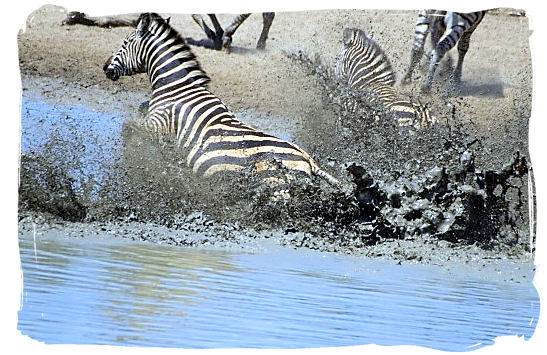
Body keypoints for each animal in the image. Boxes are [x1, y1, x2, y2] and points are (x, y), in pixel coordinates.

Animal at [103, 12, 340, 188]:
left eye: (125, 42)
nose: (105, 68)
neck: (176, 86)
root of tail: (309, 160)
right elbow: (138, 113)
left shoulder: (158, 123)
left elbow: (128, 127)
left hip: (274, 184)